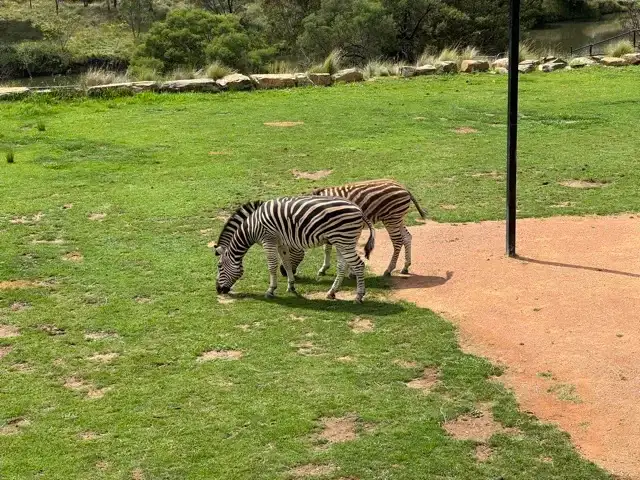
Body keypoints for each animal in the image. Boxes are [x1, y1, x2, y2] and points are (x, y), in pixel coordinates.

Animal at [214, 196, 376, 302]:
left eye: (219, 266)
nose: (218, 290)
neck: (251, 227)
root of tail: (359, 210)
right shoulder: (281, 243)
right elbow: (286, 263)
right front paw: (291, 286)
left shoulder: (269, 240)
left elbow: (272, 266)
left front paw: (270, 290)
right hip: (342, 241)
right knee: (342, 266)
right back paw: (331, 292)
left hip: (344, 240)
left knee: (359, 265)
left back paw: (359, 296)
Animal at [278, 179, 427, 278]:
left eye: (286, 252)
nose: (283, 273)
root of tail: (403, 188)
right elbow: (327, 249)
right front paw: (325, 268)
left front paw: (349, 271)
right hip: (398, 218)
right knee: (407, 237)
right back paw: (405, 267)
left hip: (392, 218)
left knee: (397, 241)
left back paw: (389, 270)